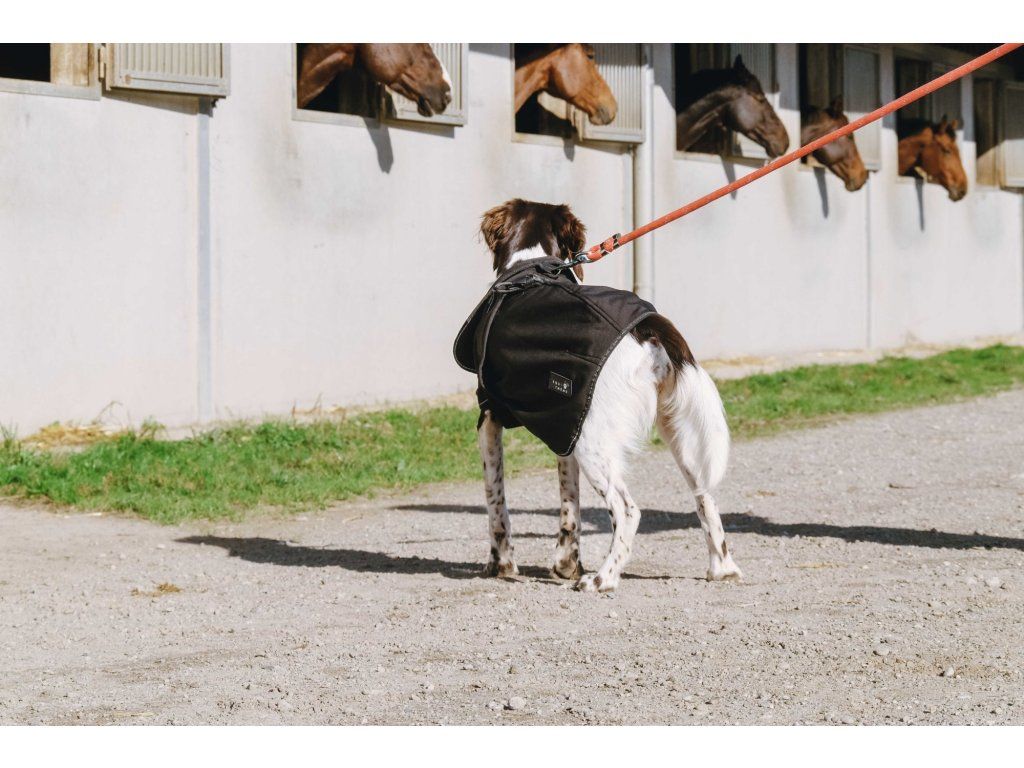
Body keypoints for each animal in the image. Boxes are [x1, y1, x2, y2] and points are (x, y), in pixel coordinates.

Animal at [455, 199, 741, 592]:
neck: (530, 262)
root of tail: (647, 328)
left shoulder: (490, 417)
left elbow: (495, 500)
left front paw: (502, 564)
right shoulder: (564, 424)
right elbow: (569, 505)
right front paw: (566, 564)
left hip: (595, 443)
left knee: (628, 510)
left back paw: (604, 578)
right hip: (673, 433)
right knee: (706, 498)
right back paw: (722, 568)